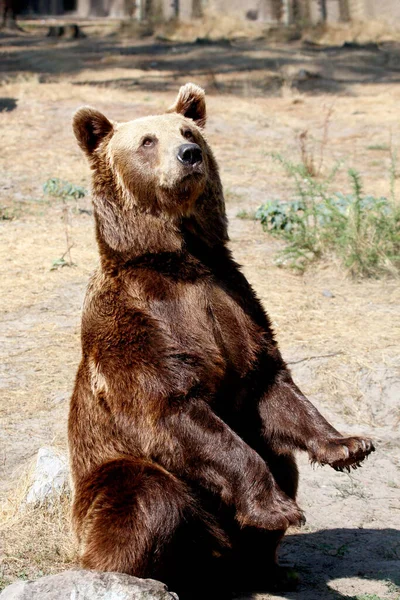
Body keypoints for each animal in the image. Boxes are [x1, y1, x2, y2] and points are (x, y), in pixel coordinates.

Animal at [69, 84, 376, 600]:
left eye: (188, 131)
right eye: (147, 140)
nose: (188, 155)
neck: (180, 260)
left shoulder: (234, 302)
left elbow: (269, 381)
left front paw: (349, 445)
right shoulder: (137, 324)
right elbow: (175, 409)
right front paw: (277, 507)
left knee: (282, 460)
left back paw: (267, 569)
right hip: (104, 484)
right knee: (145, 495)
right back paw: (140, 577)